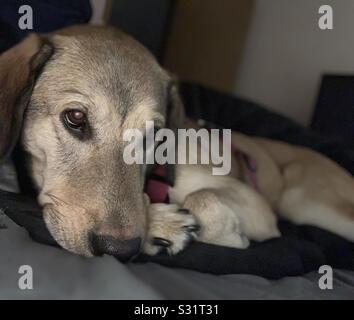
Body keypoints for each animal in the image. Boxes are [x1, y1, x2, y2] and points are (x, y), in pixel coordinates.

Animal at [0, 25, 352, 260]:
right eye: (75, 117)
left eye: (154, 134)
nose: (119, 250)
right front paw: (161, 224)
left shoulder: (258, 206)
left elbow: (202, 198)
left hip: (305, 203)